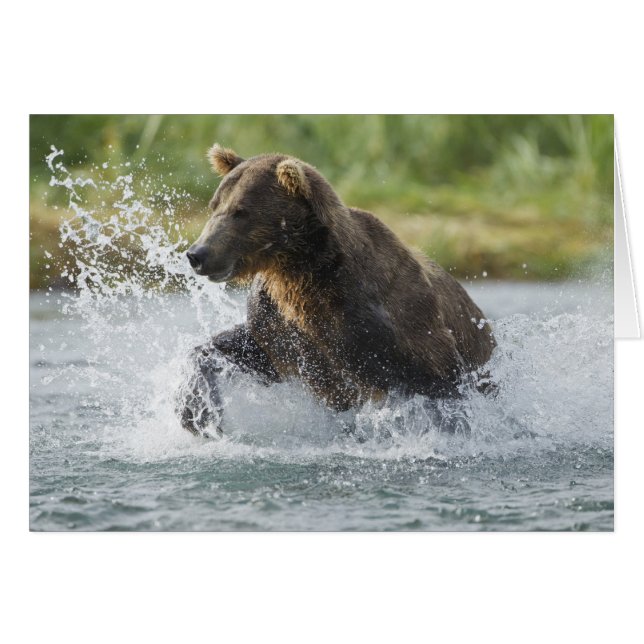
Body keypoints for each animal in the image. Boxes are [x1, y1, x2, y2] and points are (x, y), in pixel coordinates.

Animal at [176, 144, 496, 437]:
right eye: (214, 205)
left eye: (241, 212)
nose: (197, 254)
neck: (302, 272)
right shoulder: (280, 325)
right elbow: (245, 349)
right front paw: (197, 412)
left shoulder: (388, 323)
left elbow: (438, 380)